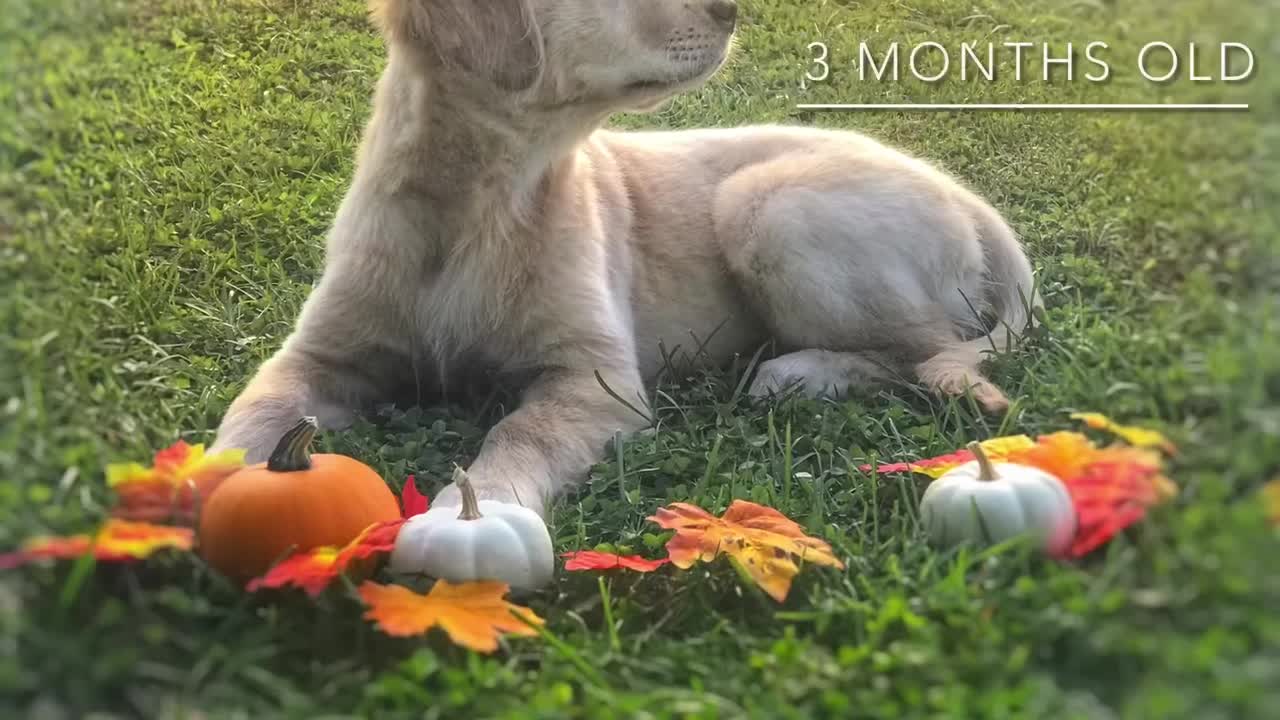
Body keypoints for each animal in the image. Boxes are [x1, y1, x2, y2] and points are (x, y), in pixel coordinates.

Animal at [209, 0, 1039, 515]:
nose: (734, 9)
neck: (481, 199)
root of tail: (967, 198)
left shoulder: (595, 381)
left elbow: (520, 433)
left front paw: (481, 507)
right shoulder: (318, 355)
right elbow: (251, 416)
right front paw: (200, 489)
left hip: (766, 207)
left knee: (933, 352)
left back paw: (802, 373)